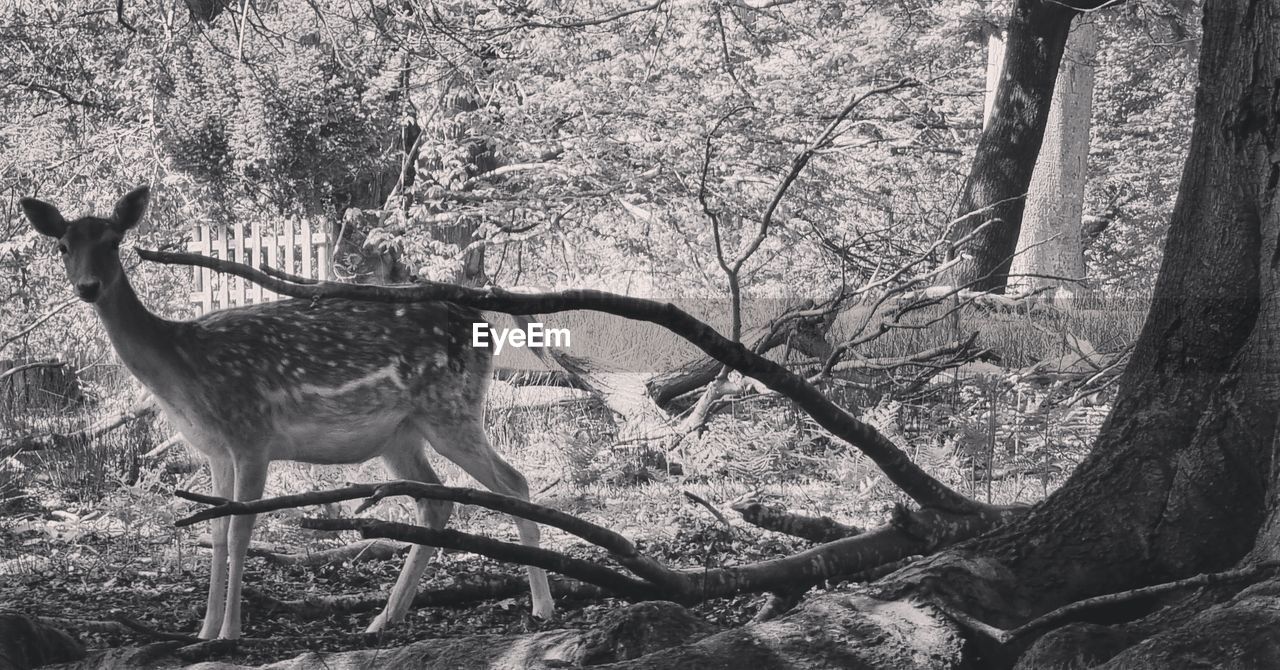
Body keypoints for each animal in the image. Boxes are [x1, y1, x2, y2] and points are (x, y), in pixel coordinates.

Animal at [18, 187, 550, 640]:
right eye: (63, 246)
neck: (183, 369)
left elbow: (239, 532)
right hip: (401, 434)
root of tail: (485, 327)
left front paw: (230, 633)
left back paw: (542, 606)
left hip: (450, 409)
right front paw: (203, 631)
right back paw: (384, 618)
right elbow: (215, 532)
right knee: (436, 501)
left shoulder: (252, 435)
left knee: (514, 482)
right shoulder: (215, 451)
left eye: (113, 241)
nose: (89, 287)